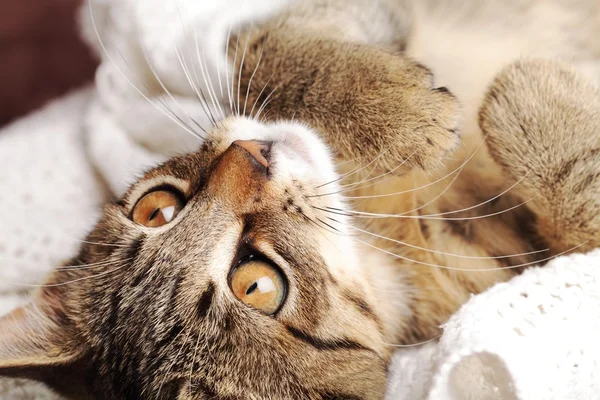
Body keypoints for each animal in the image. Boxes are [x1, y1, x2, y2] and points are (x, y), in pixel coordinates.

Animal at [1, 0, 600, 398]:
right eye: (258, 285)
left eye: (157, 208)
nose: (247, 157)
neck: (371, 229)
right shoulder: (505, 271)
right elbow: (578, 206)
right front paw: (525, 94)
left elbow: (257, 51)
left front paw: (396, 113)